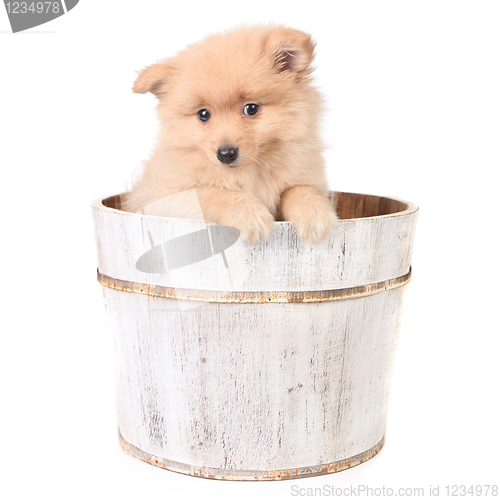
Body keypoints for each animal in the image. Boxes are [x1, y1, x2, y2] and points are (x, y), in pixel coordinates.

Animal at [123, 25, 338, 244]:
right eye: (203, 114)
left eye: (251, 108)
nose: (226, 154)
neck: (247, 173)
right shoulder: (165, 197)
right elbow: (212, 193)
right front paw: (249, 214)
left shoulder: (304, 176)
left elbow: (300, 189)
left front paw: (314, 213)